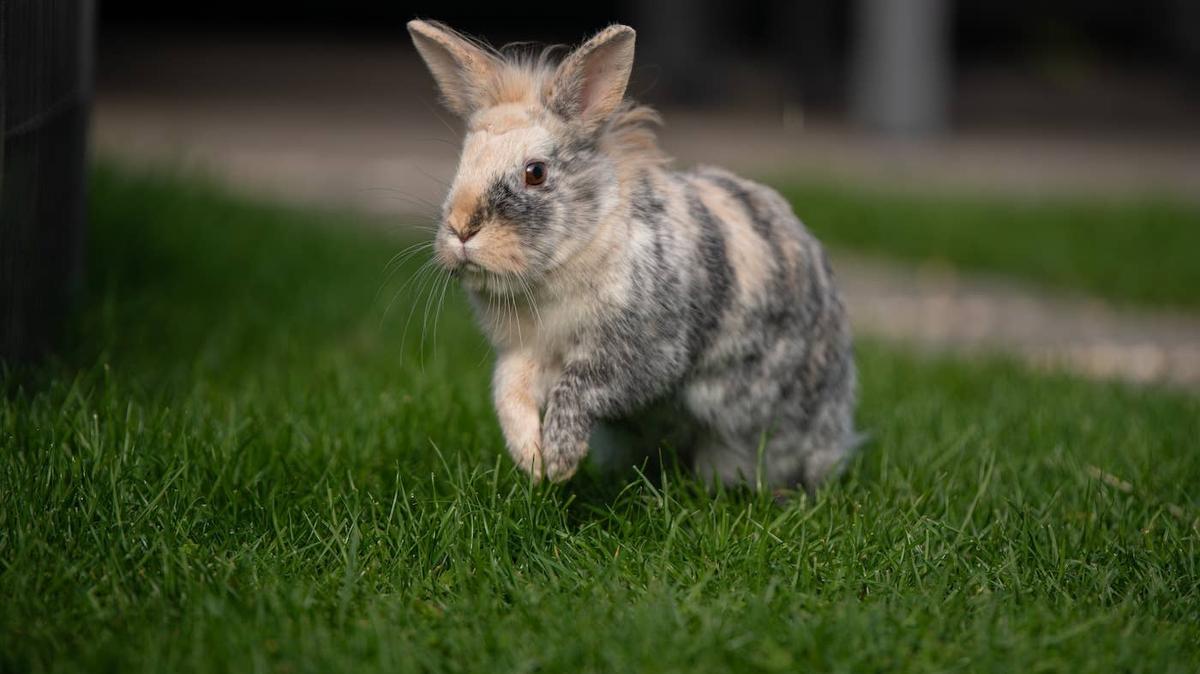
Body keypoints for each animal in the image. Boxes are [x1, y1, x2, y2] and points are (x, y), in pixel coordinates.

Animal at [407, 20, 858, 492]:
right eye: (463, 162)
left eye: (535, 172)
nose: (461, 230)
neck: (575, 249)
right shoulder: (522, 354)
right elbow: (509, 396)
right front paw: (533, 461)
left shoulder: (637, 353)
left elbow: (578, 389)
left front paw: (561, 459)